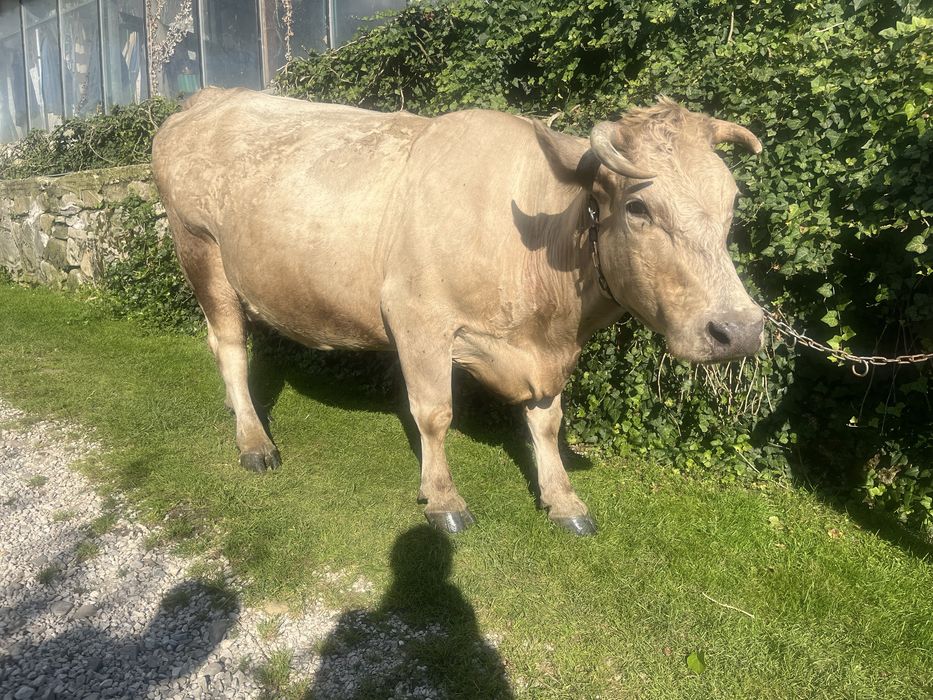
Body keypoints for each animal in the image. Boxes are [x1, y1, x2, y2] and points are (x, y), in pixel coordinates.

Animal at [151, 88, 764, 536]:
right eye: (638, 206)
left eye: (732, 202)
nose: (739, 329)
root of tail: (209, 98)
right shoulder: (417, 317)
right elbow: (434, 413)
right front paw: (443, 497)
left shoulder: (544, 352)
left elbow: (547, 422)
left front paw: (563, 498)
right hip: (199, 250)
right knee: (231, 348)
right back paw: (254, 443)